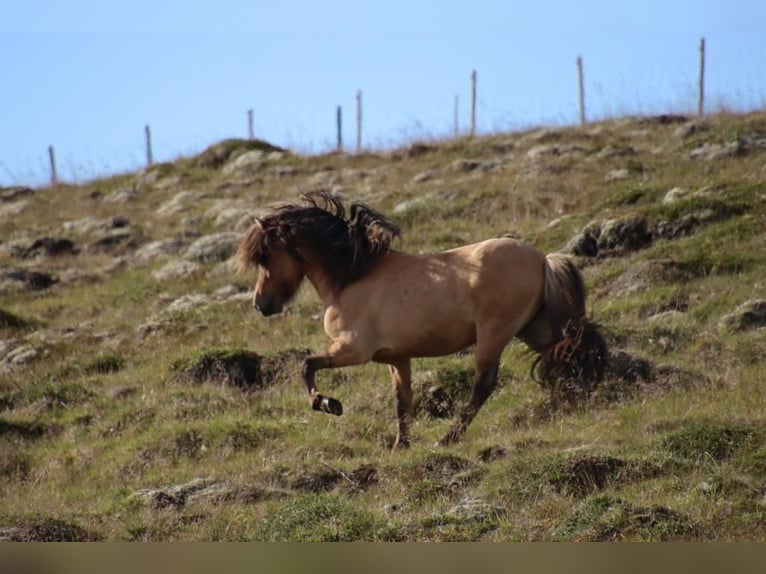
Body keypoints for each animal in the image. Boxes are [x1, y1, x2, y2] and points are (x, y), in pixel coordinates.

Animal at [236, 191, 607, 449]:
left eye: (265, 255)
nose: (260, 305)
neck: (353, 277)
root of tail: (543, 259)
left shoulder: (353, 350)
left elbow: (306, 365)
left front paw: (328, 404)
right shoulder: (397, 358)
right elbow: (403, 402)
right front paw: (401, 446)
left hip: (494, 334)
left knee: (483, 385)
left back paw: (447, 439)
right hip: (536, 328)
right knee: (573, 351)